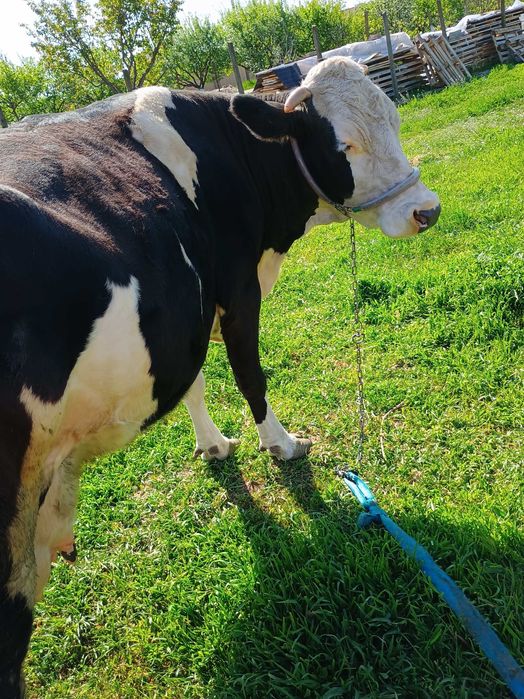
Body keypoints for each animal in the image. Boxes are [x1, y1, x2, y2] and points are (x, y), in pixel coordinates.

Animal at [0, 56, 440, 697]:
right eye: (345, 146)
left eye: (396, 120)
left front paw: (213, 445)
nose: (426, 210)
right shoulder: (236, 288)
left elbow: (197, 382)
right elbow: (249, 374)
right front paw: (281, 444)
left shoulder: (194, 306)